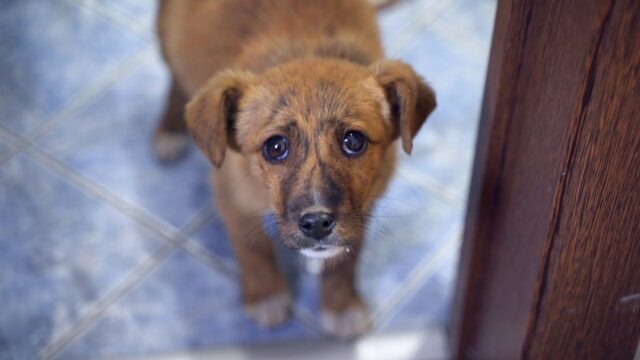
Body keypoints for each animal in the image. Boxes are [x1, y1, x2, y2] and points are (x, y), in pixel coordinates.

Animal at [154, 0, 436, 338]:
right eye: (275, 147)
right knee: (174, 77)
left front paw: (341, 305)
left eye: (354, 141)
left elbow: (346, 259)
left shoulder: (365, 206)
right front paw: (266, 294)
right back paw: (169, 128)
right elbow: (253, 247)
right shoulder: (233, 200)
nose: (316, 225)